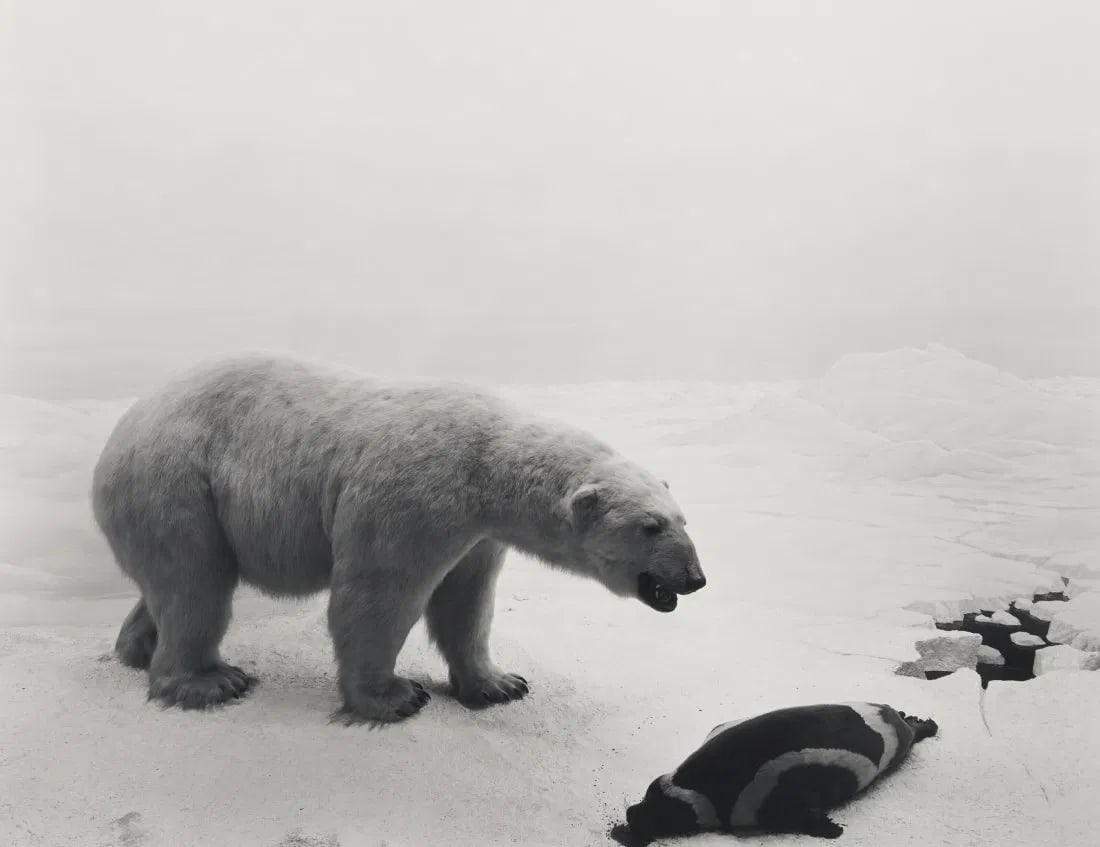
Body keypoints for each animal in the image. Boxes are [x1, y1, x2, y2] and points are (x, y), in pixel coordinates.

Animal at [91, 353, 706, 724]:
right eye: (650, 526)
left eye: (683, 519)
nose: (695, 578)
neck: (487, 464)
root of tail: (121, 429)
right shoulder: (415, 496)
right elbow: (378, 595)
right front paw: (394, 697)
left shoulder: (478, 534)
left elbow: (467, 601)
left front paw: (500, 683)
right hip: (178, 484)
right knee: (196, 584)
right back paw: (209, 681)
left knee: (172, 585)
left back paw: (137, 649)